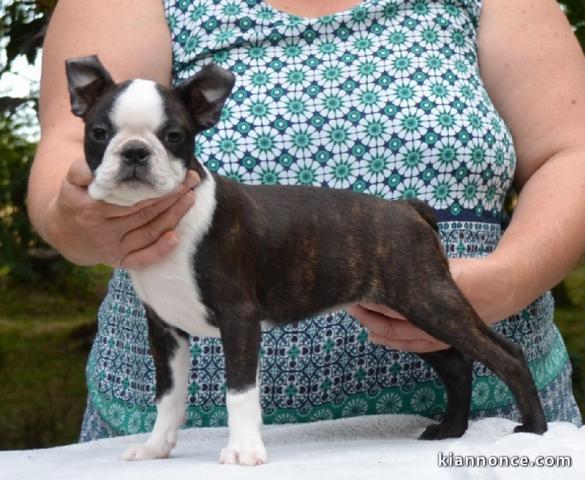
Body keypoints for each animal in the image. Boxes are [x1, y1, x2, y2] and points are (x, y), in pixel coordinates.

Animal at [66, 55, 544, 464]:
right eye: (98, 132)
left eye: (174, 136)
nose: (134, 152)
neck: (179, 222)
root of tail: (407, 209)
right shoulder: (165, 329)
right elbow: (167, 396)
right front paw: (156, 448)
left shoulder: (239, 319)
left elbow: (239, 392)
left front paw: (244, 451)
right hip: (404, 313)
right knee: (458, 365)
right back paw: (450, 431)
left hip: (430, 299)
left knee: (506, 355)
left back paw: (533, 431)